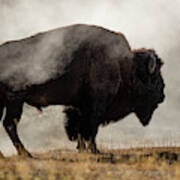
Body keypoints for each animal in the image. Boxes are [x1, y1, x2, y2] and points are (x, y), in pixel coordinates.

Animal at [0, 23, 165, 156]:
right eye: (155, 78)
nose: (162, 95)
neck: (123, 64)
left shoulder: (79, 106)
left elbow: (80, 128)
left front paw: (82, 149)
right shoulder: (96, 105)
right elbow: (91, 128)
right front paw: (95, 150)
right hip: (15, 100)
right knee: (10, 124)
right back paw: (26, 153)